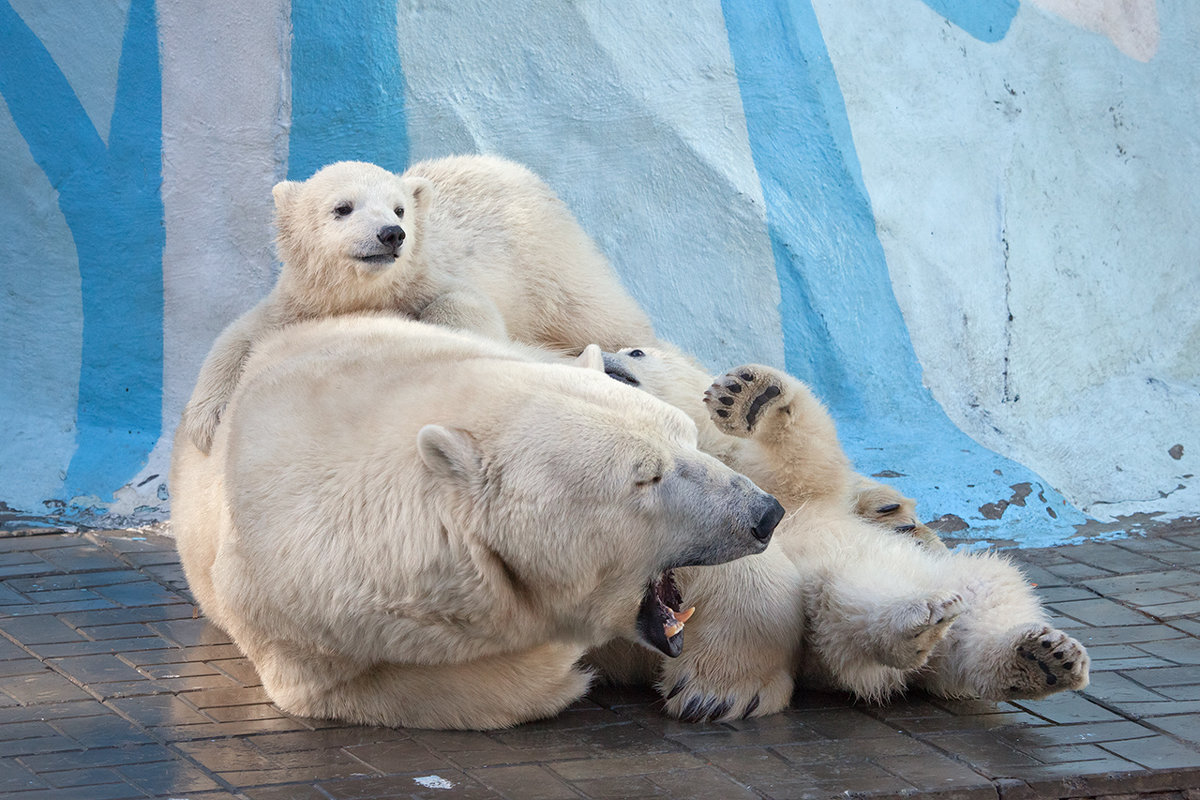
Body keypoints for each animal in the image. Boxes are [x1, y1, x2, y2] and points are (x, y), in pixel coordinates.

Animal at [171, 314, 787, 734]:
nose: (765, 514)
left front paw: (720, 689)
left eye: (684, 437)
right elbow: (405, 685)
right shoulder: (308, 614)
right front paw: (561, 661)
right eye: (647, 477)